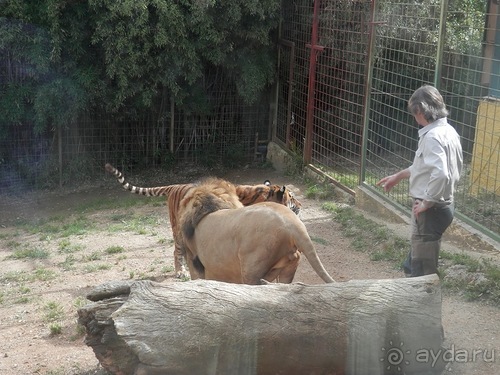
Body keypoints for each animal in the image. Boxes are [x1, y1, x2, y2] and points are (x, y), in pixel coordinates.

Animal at [105, 163, 300, 278]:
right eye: (292, 197)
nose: (301, 204)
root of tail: (174, 186)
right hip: (177, 232)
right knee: (176, 252)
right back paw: (180, 272)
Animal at [178, 179, 338, 284]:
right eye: (292, 197)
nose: (301, 205)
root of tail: (293, 224)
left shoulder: (195, 262)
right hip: (288, 266)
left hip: (251, 271)